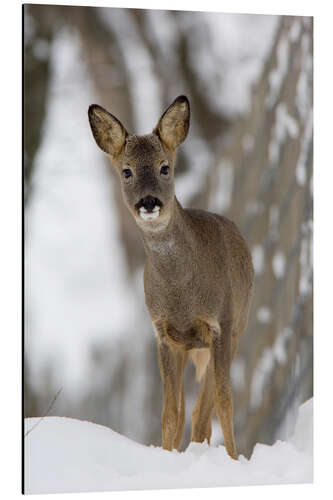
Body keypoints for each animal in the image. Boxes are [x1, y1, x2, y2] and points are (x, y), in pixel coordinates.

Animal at [87, 95, 253, 458]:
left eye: (165, 167)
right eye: (126, 171)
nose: (149, 201)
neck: (182, 295)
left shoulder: (221, 324)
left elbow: (224, 402)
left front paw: (234, 458)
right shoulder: (163, 333)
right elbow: (169, 412)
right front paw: (166, 455)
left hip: (238, 327)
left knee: (204, 410)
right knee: (189, 411)